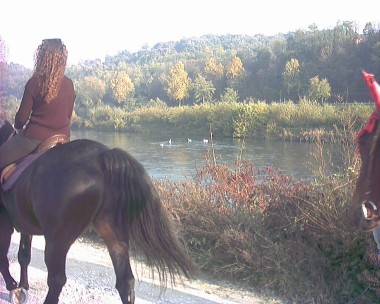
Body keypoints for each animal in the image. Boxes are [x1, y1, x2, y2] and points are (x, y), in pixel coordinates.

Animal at [0, 120, 196, 302]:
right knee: (125, 281)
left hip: (57, 239)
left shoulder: (6, 227)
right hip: (113, 233)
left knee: (56, 280)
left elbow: (5, 259)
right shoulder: (24, 226)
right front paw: (23, 286)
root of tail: (102, 155)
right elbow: (23, 256)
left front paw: (14, 288)